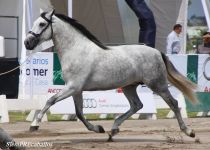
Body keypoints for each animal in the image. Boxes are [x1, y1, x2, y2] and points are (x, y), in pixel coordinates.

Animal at [24, 10, 199, 139]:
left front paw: (34, 125)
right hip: (129, 87)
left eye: (41, 24)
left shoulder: (73, 87)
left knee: (173, 103)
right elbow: (79, 113)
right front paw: (98, 128)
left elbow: (50, 101)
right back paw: (113, 129)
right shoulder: (76, 90)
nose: (27, 43)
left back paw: (189, 131)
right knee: (137, 105)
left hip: (157, 85)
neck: (76, 50)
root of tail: (157, 52)